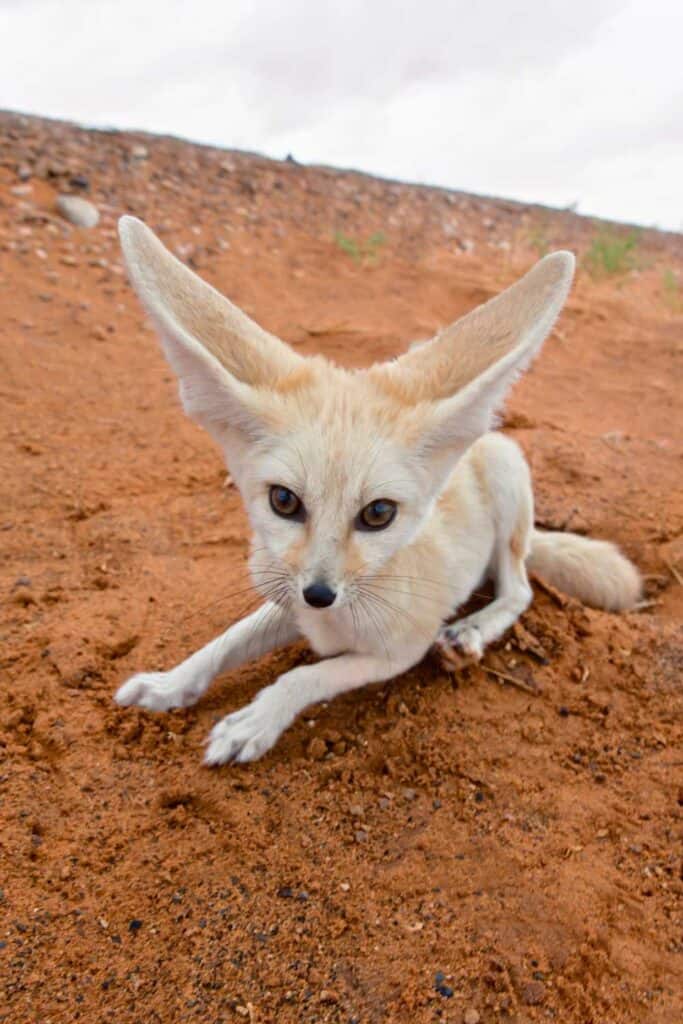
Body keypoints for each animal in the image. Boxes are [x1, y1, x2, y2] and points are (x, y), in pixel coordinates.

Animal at [113, 214, 643, 761]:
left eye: (378, 513)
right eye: (284, 501)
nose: (319, 594)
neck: (336, 614)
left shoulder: (398, 651)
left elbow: (304, 677)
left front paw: (255, 721)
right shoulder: (287, 602)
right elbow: (225, 641)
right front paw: (169, 683)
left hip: (505, 469)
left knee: (519, 588)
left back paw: (470, 632)